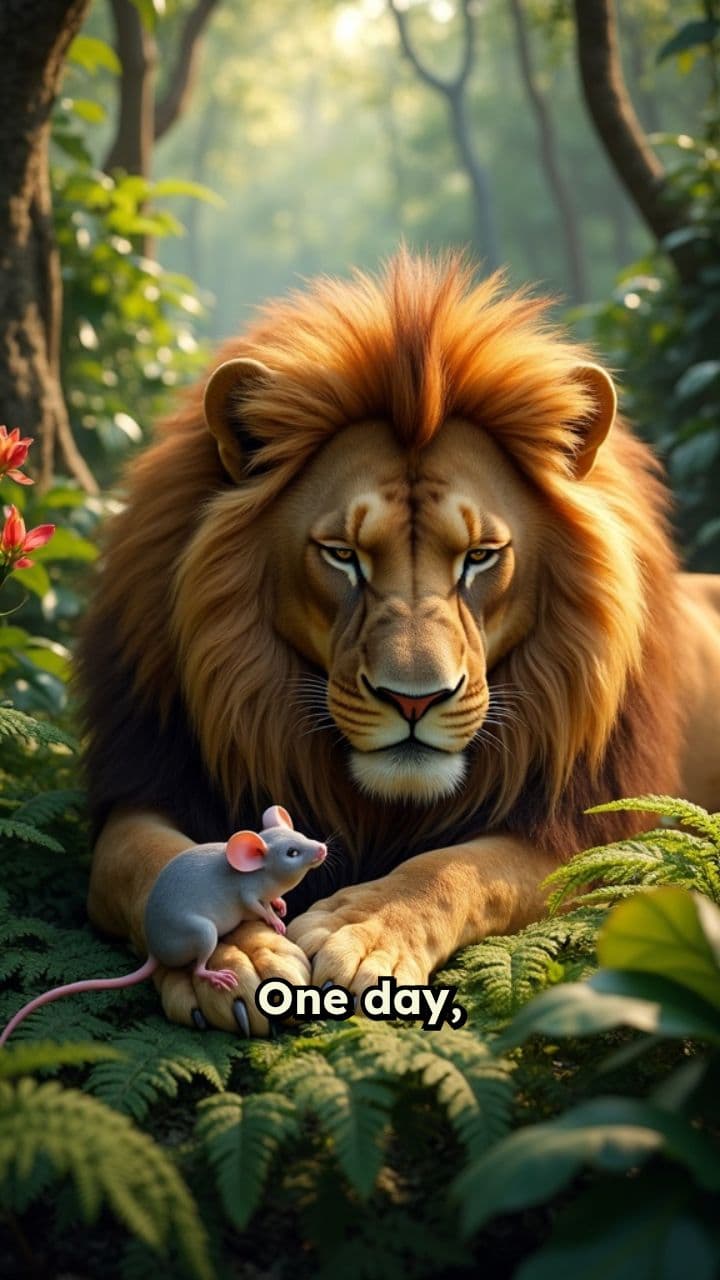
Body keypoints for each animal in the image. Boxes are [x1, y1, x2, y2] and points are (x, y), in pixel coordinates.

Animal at [77, 250, 720, 1036]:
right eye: (342, 555)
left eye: (479, 556)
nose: (415, 701)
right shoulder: (147, 780)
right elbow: (146, 862)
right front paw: (240, 952)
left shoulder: (590, 835)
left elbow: (458, 868)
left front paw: (364, 929)